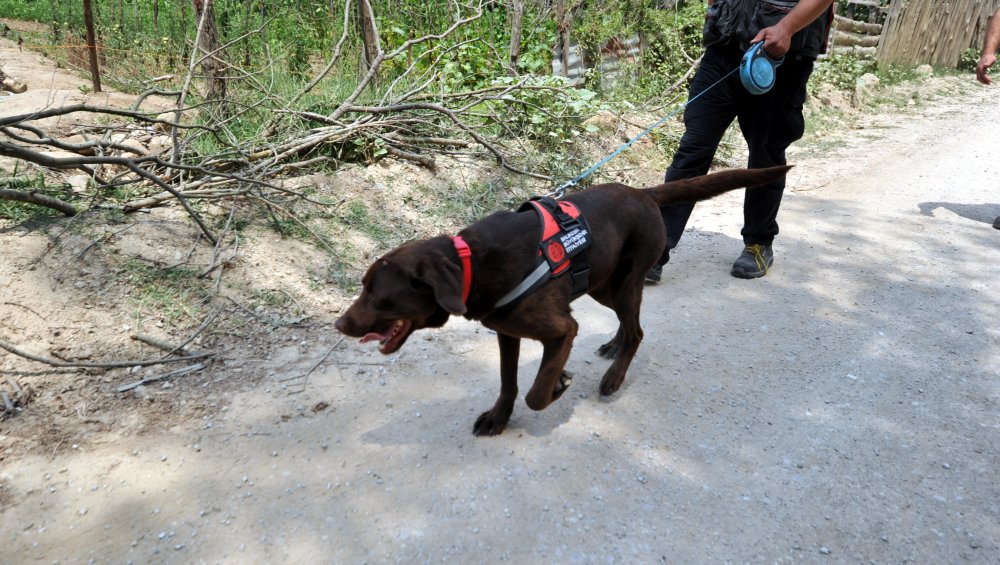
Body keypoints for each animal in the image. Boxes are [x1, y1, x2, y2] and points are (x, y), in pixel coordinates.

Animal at [336, 165, 788, 434]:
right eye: (363, 287)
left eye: (378, 296)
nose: (340, 325)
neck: (472, 265)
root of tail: (645, 193)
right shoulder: (507, 333)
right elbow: (509, 383)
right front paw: (499, 418)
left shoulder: (562, 330)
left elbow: (536, 393)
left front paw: (557, 385)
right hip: (605, 285)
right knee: (629, 324)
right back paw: (613, 346)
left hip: (624, 282)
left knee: (638, 331)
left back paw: (614, 377)